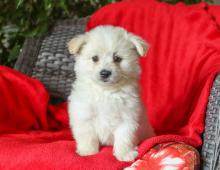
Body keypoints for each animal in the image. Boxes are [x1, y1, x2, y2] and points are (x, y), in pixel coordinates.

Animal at [67, 24, 155, 161]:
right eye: (95, 58)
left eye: (117, 58)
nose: (105, 73)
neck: (106, 91)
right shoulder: (84, 116)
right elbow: (87, 136)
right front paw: (88, 151)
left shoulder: (127, 118)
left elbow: (124, 137)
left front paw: (125, 154)